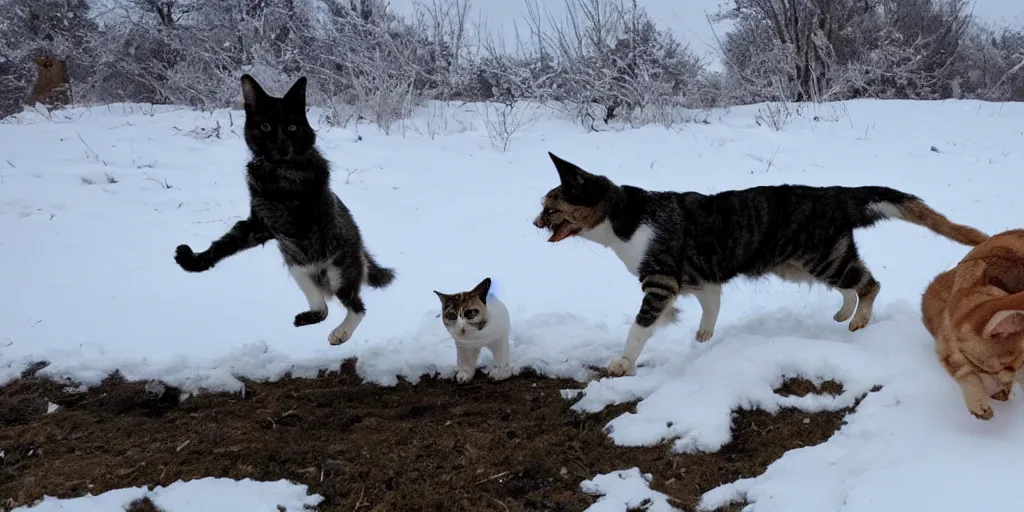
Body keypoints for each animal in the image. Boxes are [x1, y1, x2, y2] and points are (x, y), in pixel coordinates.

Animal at [174, 74, 393, 346]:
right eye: (266, 126)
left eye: (291, 128)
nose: (281, 148)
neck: (277, 171)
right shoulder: (260, 224)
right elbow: (224, 244)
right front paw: (193, 260)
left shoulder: (300, 220)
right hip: (297, 267)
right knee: (323, 308)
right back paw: (307, 317)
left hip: (338, 272)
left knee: (357, 307)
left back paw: (341, 333)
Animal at [925, 228, 1024, 419]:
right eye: (984, 369)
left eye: (1013, 365)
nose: (1000, 393)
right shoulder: (949, 353)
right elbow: (965, 374)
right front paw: (978, 402)